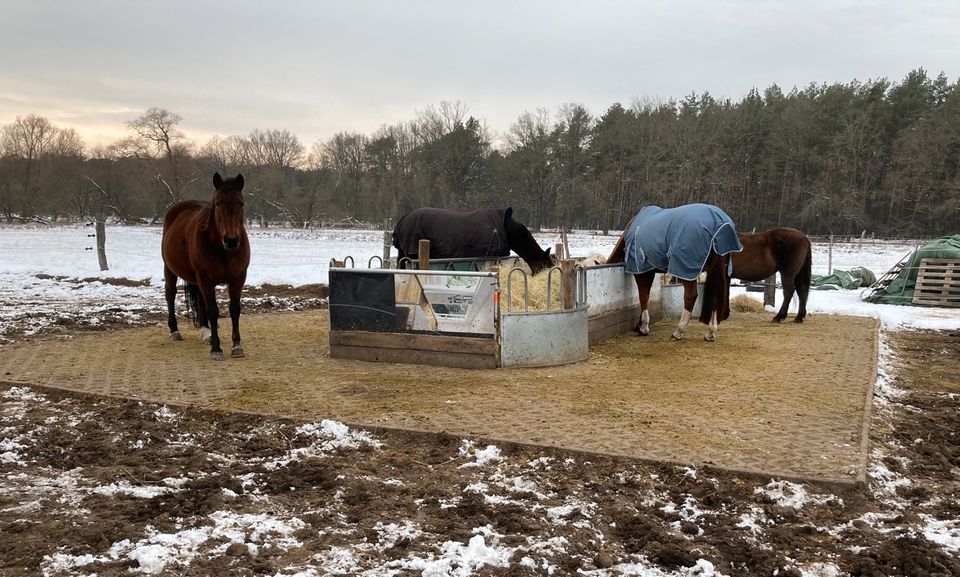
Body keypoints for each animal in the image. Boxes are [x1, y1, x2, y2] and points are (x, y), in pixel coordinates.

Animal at [161, 172, 251, 360]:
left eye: (241, 203)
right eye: (217, 203)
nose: (231, 240)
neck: (222, 250)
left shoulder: (238, 279)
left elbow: (234, 310)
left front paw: (236, 346)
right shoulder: (206, 279)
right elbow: (213, 311)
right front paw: (216, 348)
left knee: (200, 300)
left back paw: (205, 332)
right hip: (170, 269)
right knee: (170, 294)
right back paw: (174, 330)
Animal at [608, 202, 744, 340]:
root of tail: (720, 223)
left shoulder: (642, 271)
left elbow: (643, 296)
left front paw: (643, 327)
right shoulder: (649, 271)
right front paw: (640, 325)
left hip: (687, 270)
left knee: (690, 297)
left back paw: (679, 331)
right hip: (718, 270)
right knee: (716, 297)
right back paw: (710, 333)